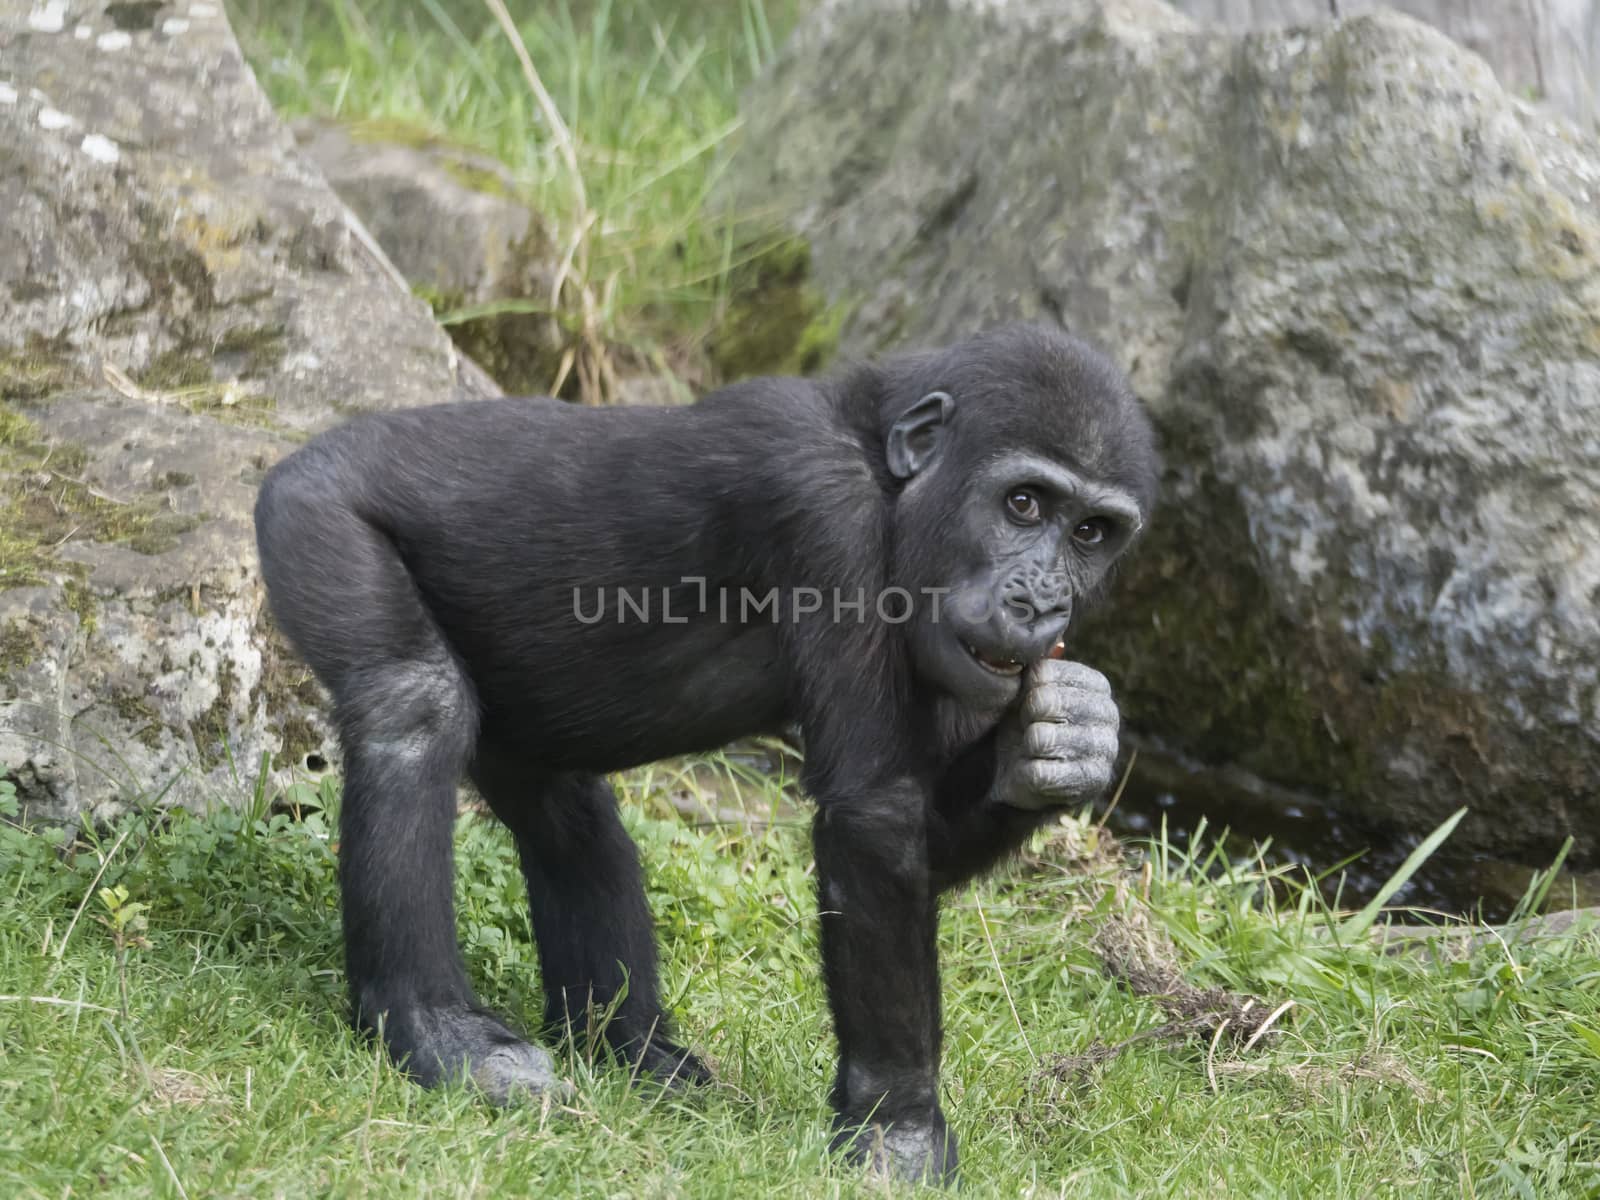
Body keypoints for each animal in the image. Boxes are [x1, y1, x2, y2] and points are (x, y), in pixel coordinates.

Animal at [249, 324, 1158, 1190]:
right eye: (1023, 503)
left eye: (1091, 532)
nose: (1043, 601)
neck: (884, 464)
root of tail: (292, 456)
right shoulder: (823, 511)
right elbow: (874, 817)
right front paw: (897, 1128)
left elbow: (922, 838)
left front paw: (1057, 746)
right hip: (314, 515)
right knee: (414, 705)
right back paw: (430, 1028)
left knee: (567, 818)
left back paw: (626, 1048)